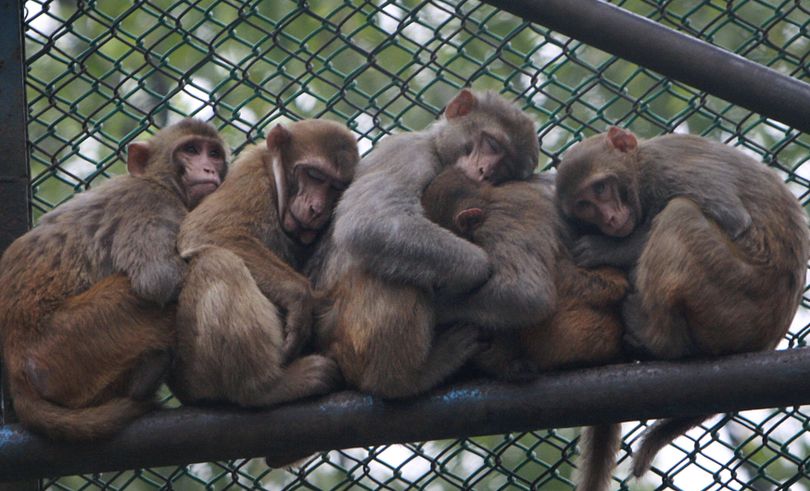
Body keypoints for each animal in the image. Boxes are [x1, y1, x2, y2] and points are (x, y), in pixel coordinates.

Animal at [0, 120, 229, 442]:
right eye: (192, 149)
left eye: (214, 154)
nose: (208, 168)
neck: (160, 182)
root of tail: (16, 371)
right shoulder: (149, 203)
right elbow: (159, 280)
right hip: (64, 347)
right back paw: (145, 379)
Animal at [169, 118, 358, 408]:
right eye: (314, 176)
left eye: (336, 187)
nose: (317, 208)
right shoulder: (251, 176)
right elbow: (207, 231)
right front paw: (300, 298)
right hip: (193, 373)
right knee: (216, 261)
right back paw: (264, 388)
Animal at [306, 88, 540, 400]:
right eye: (491, 144)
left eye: (505, 168)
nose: (484, 171)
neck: (437, 150)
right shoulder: (409, 154)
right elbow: (369, 221)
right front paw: (474, 273)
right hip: (348, 343)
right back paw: (404, 378)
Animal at [556, 128, 808, 491]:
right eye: (584, 205)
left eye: (601, 188)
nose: (610, 219)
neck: (640, 171)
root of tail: (767, 340)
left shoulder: (669, 171)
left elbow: (732, 219)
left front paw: (608, 249)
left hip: (736, 296)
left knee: (681, 213)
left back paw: (659, 340)